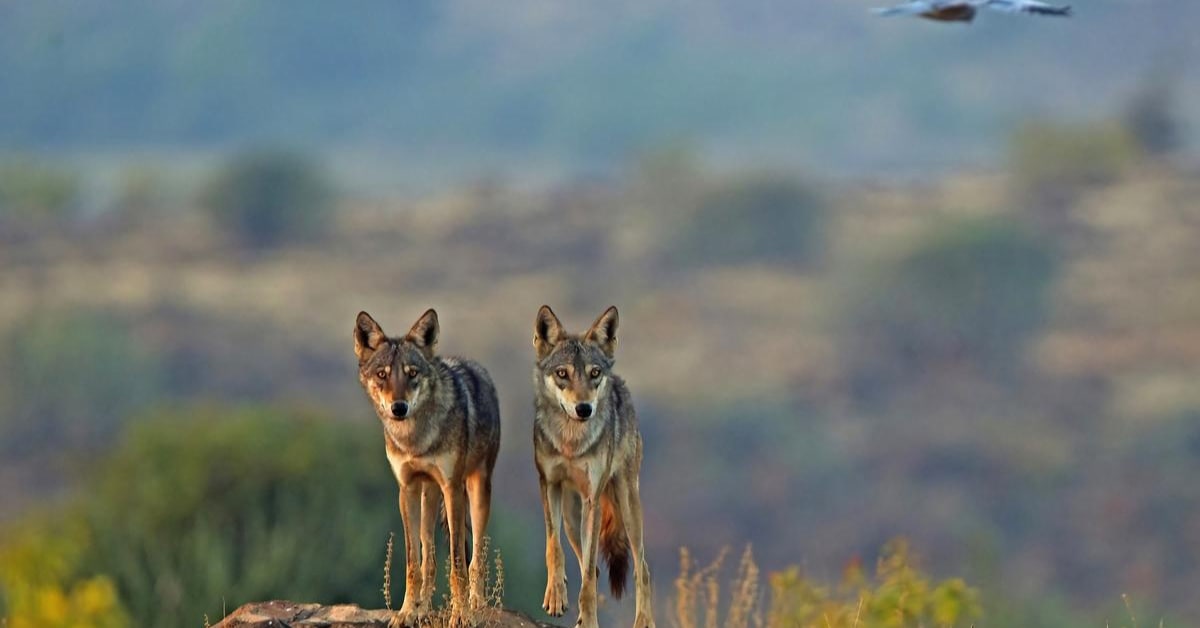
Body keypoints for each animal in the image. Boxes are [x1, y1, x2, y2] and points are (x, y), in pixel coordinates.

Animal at [354, 309, 501, 628]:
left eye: (412, 373)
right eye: (382, 374)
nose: (398, 408)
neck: (416, 439)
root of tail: (476, 366)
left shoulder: (452, 488)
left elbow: (457, 562)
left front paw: (461, 614)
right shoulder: (406, 489)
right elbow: (413, 562)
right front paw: (408, 612)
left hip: (476, 492)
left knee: (476, 558)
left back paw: (477, 604)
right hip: (427, 497)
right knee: (429, 559)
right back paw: (423, 609)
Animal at [532, 305, 656, 628]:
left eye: (594, 374)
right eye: (562, 374)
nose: (584, 409)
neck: (571, 443)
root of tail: (620, 385)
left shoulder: (592, 500)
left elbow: (587, 575)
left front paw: (588, 620)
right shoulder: (548, 485)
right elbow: (553, 547)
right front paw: (555, 597)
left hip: (626, 507)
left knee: (642, 568)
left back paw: (644, 621)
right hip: (572, 519)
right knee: (595, 568)